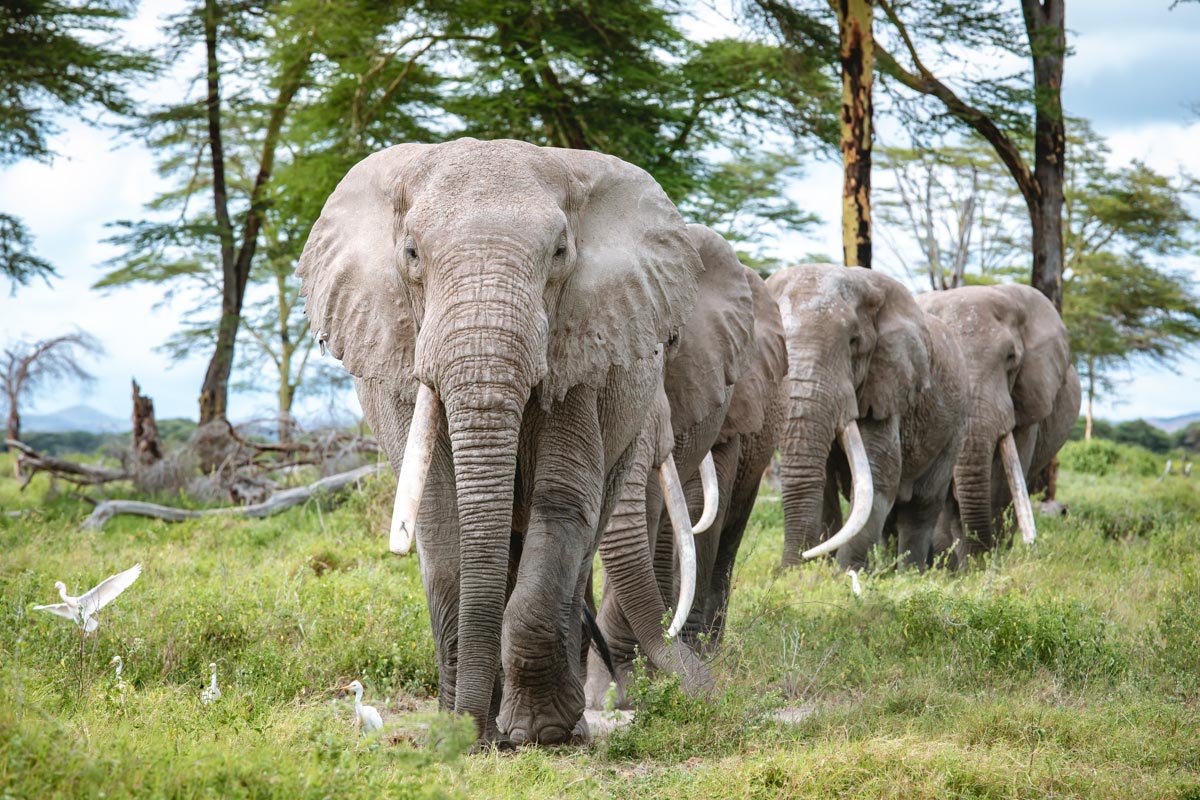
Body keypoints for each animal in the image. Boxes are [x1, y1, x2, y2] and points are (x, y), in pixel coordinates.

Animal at [297, 137, 700, 743]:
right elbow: (441, 515)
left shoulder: (579, 349)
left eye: (559, 252)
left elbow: (561, 503)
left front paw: (538, 734)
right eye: (411, 253)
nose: (462, 736)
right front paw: (466, 729)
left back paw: (559, 723)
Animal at [763, 266, 969, 573]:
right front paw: (814, 573)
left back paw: (909, 574)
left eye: (853, 342)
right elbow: (825, 484)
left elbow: (880, 471)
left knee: (921, 504)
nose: (790, 567)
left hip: (954, 428)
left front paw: (841, 575)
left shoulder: (887, 383)